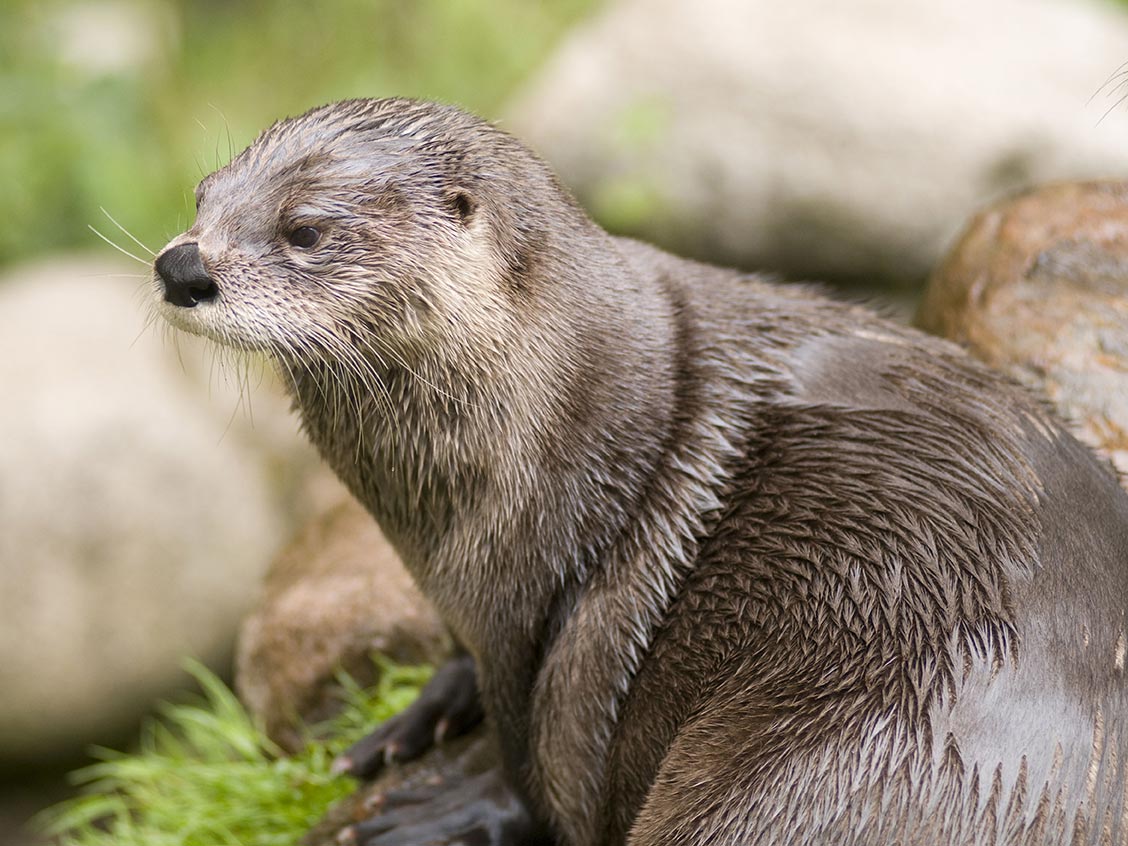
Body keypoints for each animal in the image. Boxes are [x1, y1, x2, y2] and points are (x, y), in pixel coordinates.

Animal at [154, 95, 1128, 843]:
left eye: (305, 229)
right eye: (203, 195)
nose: (181, 265)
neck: (572, 416)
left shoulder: (527, 599)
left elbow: (537, 759)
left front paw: (439, 807)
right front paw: (418, 715)